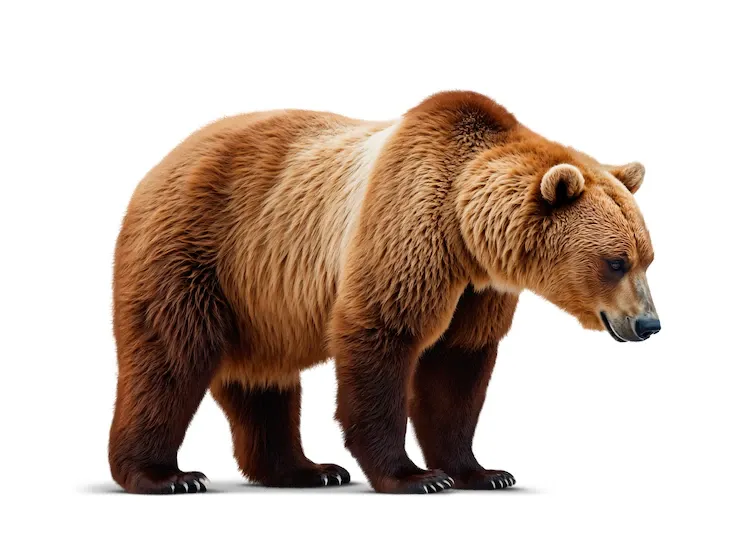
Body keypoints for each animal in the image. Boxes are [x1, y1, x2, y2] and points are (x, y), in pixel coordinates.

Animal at [109, 91, 659, 494]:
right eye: (615, 261)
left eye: (648, 257)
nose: (648, 323)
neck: (465, 233)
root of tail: (161, 162)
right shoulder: (407, 229)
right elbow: (383, 336)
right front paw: (416, 476)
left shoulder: (476, 293)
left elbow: (456, 370)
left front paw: (482, 472)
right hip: (194, 250)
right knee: (170, 358)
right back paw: (165, 475)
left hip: (258, 299)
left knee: (263, 382)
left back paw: (307, 469)